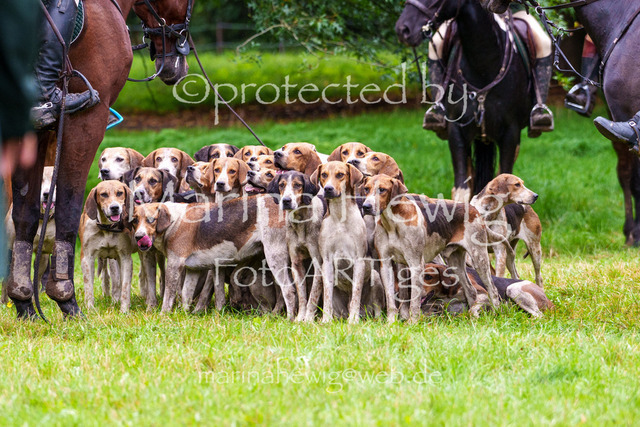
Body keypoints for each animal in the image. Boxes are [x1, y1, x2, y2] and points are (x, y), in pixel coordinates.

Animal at [7, 0, 192, 318]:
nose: (176, 68)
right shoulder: (86, 121)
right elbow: (69, 206)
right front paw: (65, 297)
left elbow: (25, 213)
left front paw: (24, 302)